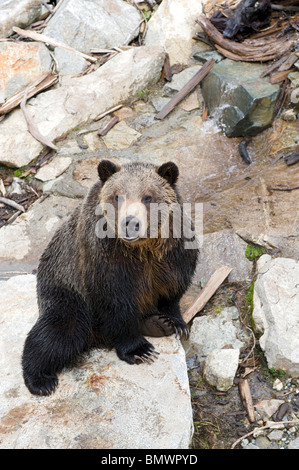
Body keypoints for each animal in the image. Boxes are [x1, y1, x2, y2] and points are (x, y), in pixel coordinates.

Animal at [22, 160, 199, 394]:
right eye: (118, 196)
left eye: (148, 196)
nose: (130, 222)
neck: (143, 250)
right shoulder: (104, 260)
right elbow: (115, 304)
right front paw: (139, 350)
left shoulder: (173, 255)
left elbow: (172, 291)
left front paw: (176, 323)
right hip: (66, 291)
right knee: (59, 331)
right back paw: (40, 379)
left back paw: (157, 324)